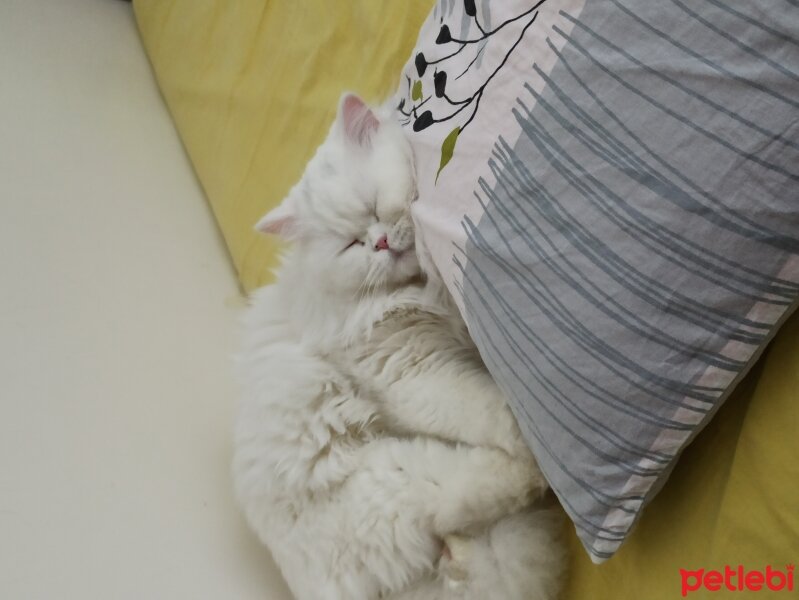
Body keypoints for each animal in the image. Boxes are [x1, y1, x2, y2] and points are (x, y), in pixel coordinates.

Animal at [233, 94, 568, 600]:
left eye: (373, 208)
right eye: (351, 244)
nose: (381, 243)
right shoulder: (411, 371)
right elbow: (489, 410)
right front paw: (522, 429)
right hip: (400, 473)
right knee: (466, 496)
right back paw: (535, 468)